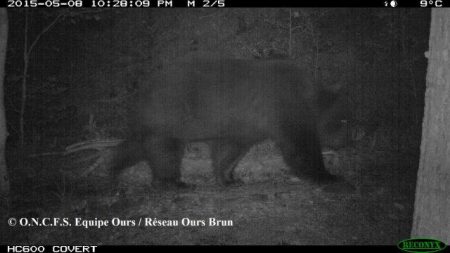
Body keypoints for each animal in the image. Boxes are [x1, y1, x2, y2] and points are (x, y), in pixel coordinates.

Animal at [110, 53, 350, 188]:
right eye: (343, 121)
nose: (347, 141)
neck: (309, 96)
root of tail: (142, 89)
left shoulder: (243, 124)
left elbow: (230, 149)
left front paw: (228, 178)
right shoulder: (284, 105)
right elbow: (300, 145)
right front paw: (329, 176)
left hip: (155, 121)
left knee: (138, 146)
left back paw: (113, 170)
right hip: (170, 115)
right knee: (165, 150)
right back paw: (174, 182)